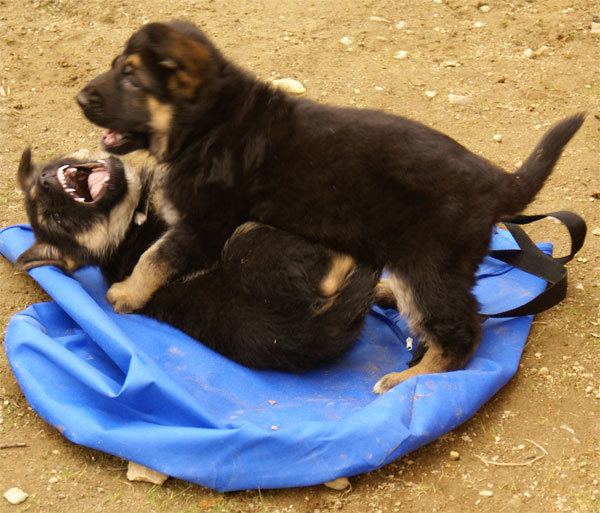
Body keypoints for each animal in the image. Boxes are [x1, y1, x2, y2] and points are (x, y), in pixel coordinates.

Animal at [16, 149, 390, 372]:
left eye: (46, 174)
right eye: (57, 220)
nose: (46, 180)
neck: (134, 219)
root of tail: (323, 328)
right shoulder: (195, 234)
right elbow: (154, 257)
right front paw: (126, 295)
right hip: (246, 241)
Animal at [76, 20, 584, 392]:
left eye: (131, 77)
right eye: (116, 66)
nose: (79, 96)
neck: (211, 123)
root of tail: (496, 182)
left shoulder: (206, 224)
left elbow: (154, 255)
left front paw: (126, 293)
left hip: (426, 267)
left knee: (461, 334)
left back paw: (408, 379)